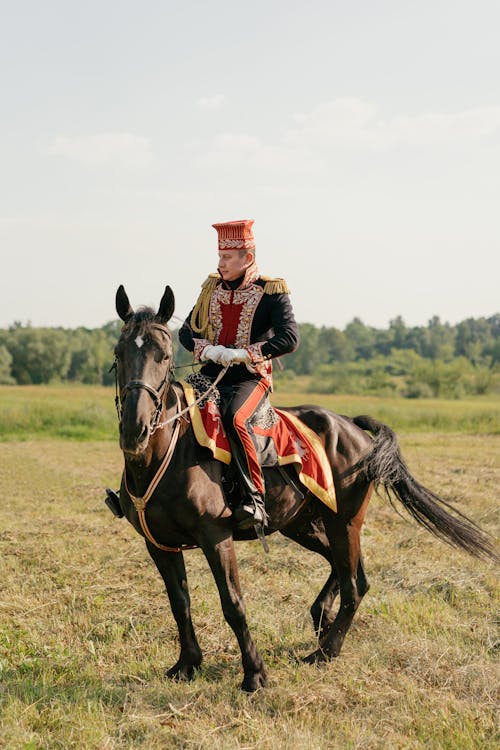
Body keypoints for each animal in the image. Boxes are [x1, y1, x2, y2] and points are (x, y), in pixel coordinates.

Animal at [112, 286, 496, 692]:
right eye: (119, 354)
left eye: (164, 355)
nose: (135, 430)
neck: (167, 452)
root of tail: (353, 427)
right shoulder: (158, 544)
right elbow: (179, 604)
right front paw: (187, 664)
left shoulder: (216, 537)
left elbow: (233, 604)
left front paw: (255, 674)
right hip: (304, 524)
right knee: (350, 572)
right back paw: (321, 620)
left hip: (345, 521)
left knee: (354, 585)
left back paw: (326, 650)